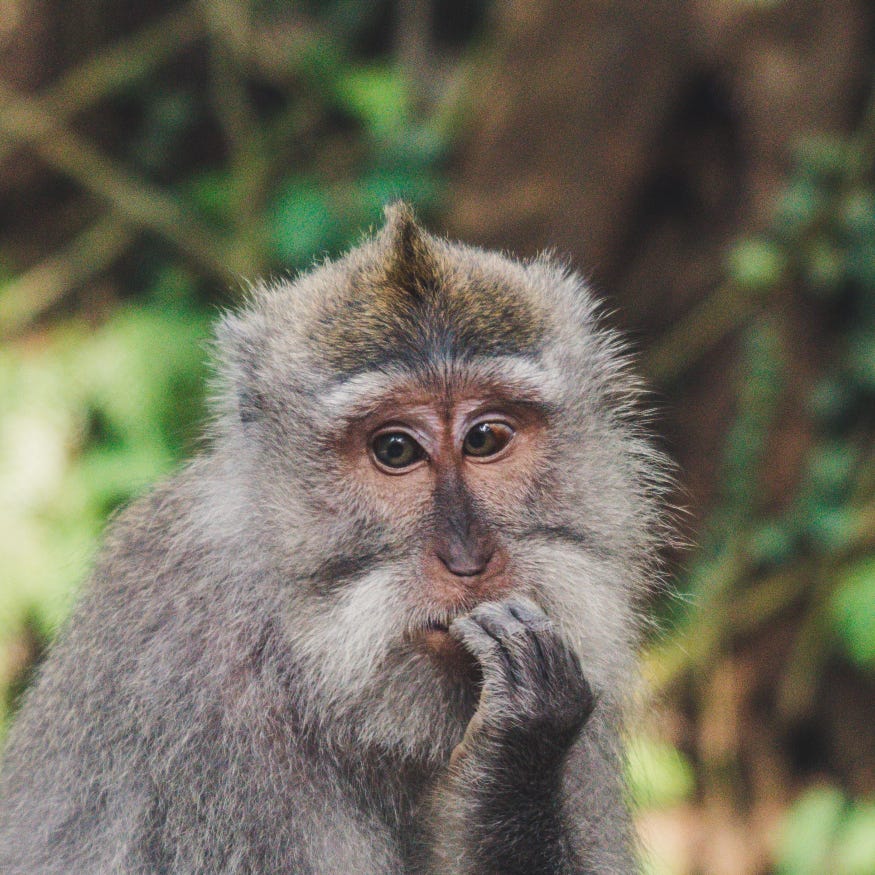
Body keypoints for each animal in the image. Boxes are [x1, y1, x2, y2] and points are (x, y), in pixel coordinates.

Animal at [0, 202, 670, 874]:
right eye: (395, 449)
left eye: (484, 438)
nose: (468, 558)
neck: (310, 666)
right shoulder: (198, 698)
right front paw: (519, 746)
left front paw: (518, 763)